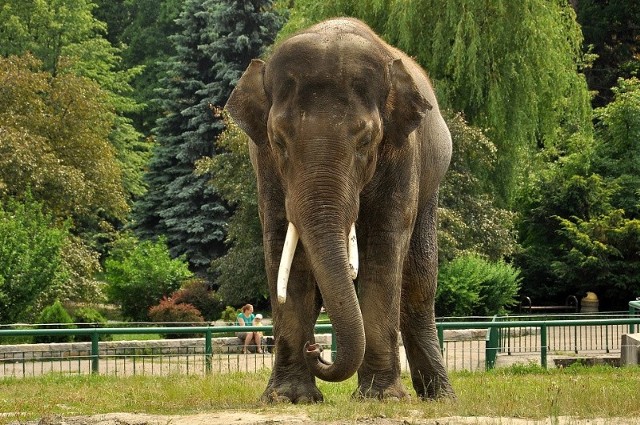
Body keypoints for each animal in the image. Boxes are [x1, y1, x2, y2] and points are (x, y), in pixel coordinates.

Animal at [228, 16, 452, 400]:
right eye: (278, 141)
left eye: (366, 141)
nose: (316, 348)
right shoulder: (265, 165)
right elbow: (282, 246)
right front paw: (289, 398)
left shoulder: (404, 153)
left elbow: (384, 246)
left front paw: (382, 397)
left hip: (430, 186)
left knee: (419, 287)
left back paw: (440, 397)